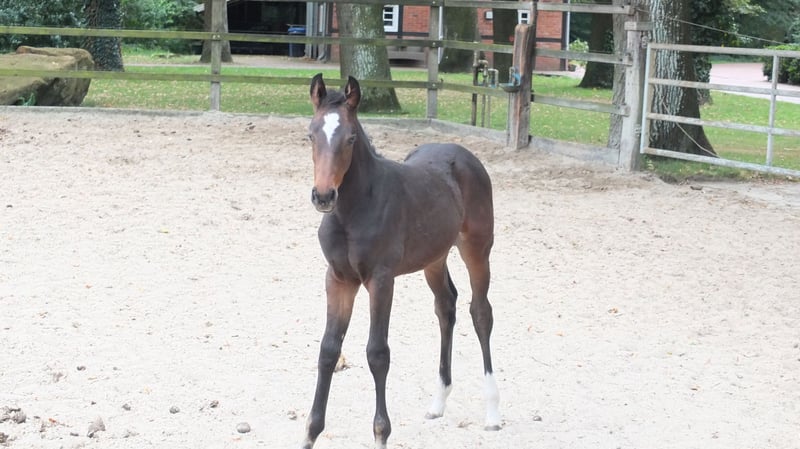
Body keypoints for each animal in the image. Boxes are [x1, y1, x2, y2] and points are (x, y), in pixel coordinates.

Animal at [301, 74, 500, 449]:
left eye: (350, 138)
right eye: (311, 134)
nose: (323, 196)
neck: (352, 212)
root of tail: (463, 153)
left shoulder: (381, 280)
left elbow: (377, 353)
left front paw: (381, 432)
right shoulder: (338, 279)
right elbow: (328, 350)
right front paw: (310, 433)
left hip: (477, 249)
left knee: (480, 312)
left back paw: (493, 413)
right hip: (434, 258)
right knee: (446, 307)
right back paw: (438, 402)